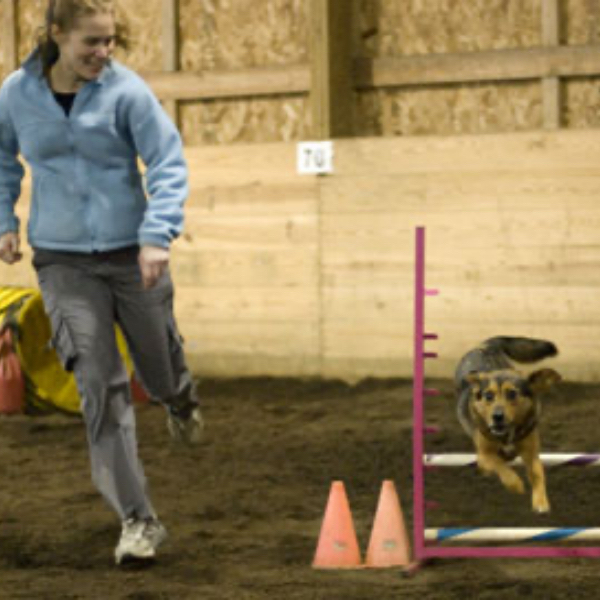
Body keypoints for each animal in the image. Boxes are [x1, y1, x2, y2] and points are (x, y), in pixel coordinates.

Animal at [455, 337, 561, 513]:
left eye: (512, 394)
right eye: (488, 396)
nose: (497, 417)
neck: (507, 433)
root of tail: (486, 346)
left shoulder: (531, 453)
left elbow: (537, 473)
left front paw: (540, 502)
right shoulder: (484, 455)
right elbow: (500, 465)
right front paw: (515, 484)